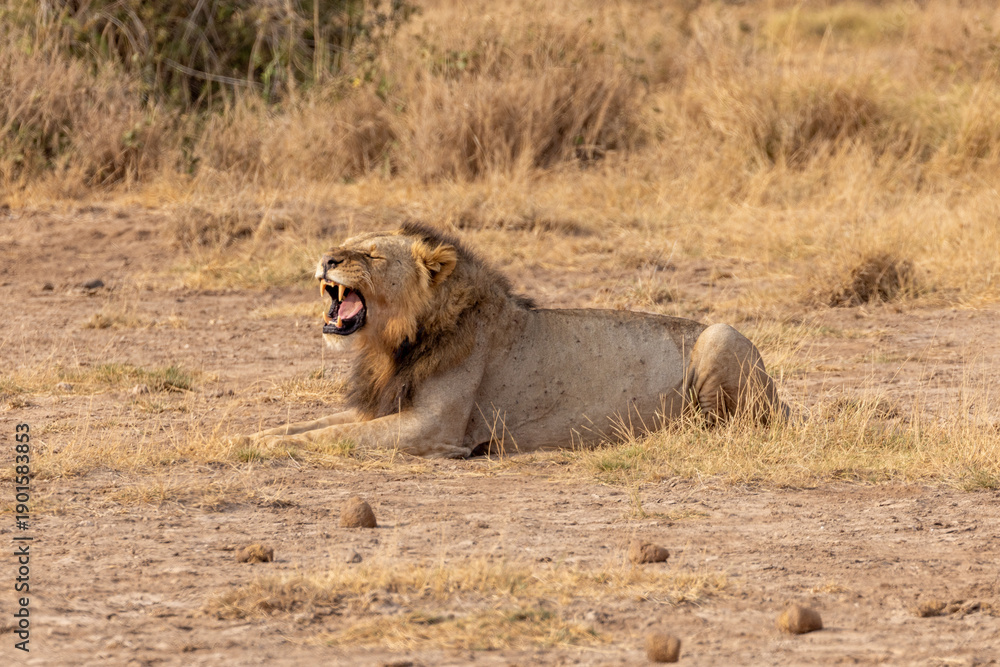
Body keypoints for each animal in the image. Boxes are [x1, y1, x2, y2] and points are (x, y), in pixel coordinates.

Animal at [252, 223, 789, 458]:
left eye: (371, 254)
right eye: (346, 244)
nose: (326, 258)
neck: (392, 345)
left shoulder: (432, 429)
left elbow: (335, 436)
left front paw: (269, 447)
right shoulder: (383, 406)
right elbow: (310, 424)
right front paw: (253, 437)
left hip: (720, 334)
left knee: (726, 425)